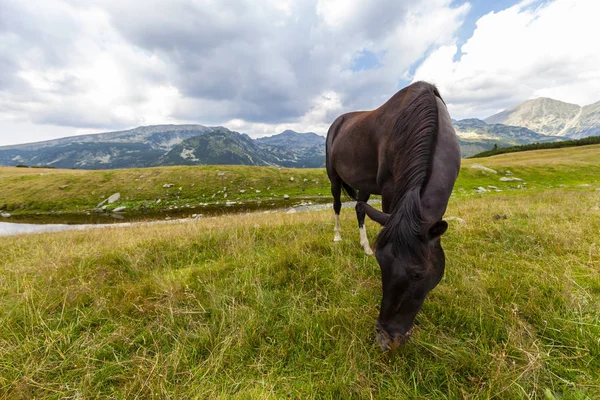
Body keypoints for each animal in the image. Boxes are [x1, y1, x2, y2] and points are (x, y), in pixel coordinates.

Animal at [324, 81, 460, 350]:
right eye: (381, 265)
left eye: (418, 274)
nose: (385, 339)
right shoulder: (388, 189)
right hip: (334, 177)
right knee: (336, 205)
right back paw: (337, 236)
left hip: (364, 184)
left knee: (360, 208)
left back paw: (364, 245)